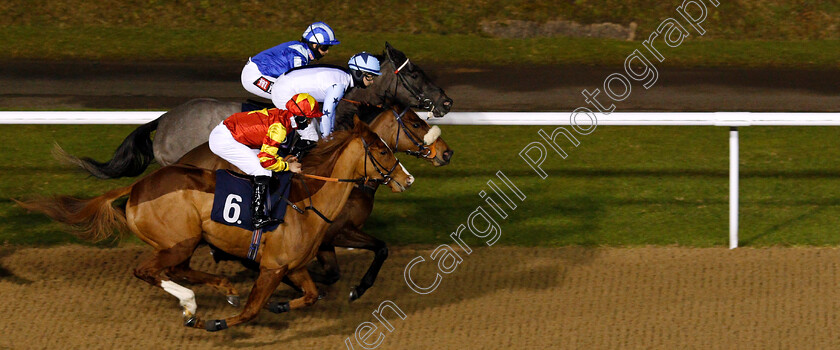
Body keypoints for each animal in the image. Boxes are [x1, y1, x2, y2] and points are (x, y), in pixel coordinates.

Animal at [15, 119, 414, 330]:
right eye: (381, 150)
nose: (407, 179)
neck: (308, 200)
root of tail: (138, 185)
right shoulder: (272, 267)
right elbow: (252, 310)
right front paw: (221, 322)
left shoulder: (291, 265)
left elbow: (312, 294)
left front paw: (281, 306)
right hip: (177, 240)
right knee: (148, 271)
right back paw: (192, 304)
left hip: (185, 242)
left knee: (178, 270)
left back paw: (218, 290)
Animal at [178, 106, 452, 300]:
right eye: (416, 123)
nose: (447, 153)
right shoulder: (335, 233)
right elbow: (342, 268)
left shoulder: (327, 237)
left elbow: (358, 261)